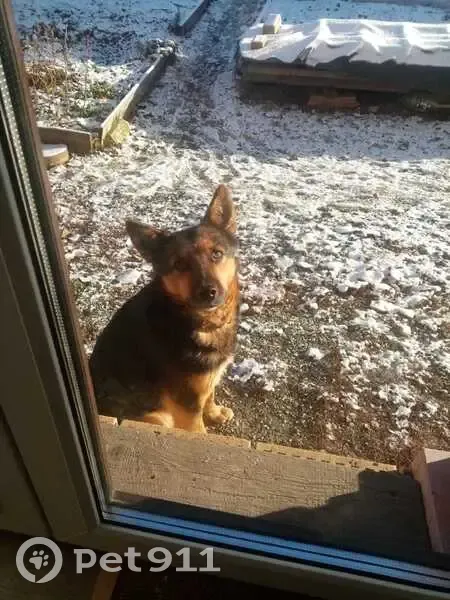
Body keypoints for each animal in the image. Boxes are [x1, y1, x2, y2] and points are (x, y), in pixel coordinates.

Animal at [89, 184, 239, 434]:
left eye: (216, 254)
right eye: (179, 264)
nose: (208, 292)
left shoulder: (207, 380)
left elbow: (210, 393)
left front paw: (214, 412)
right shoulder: (187, 407)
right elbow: (198, 430)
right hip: (161, 418)